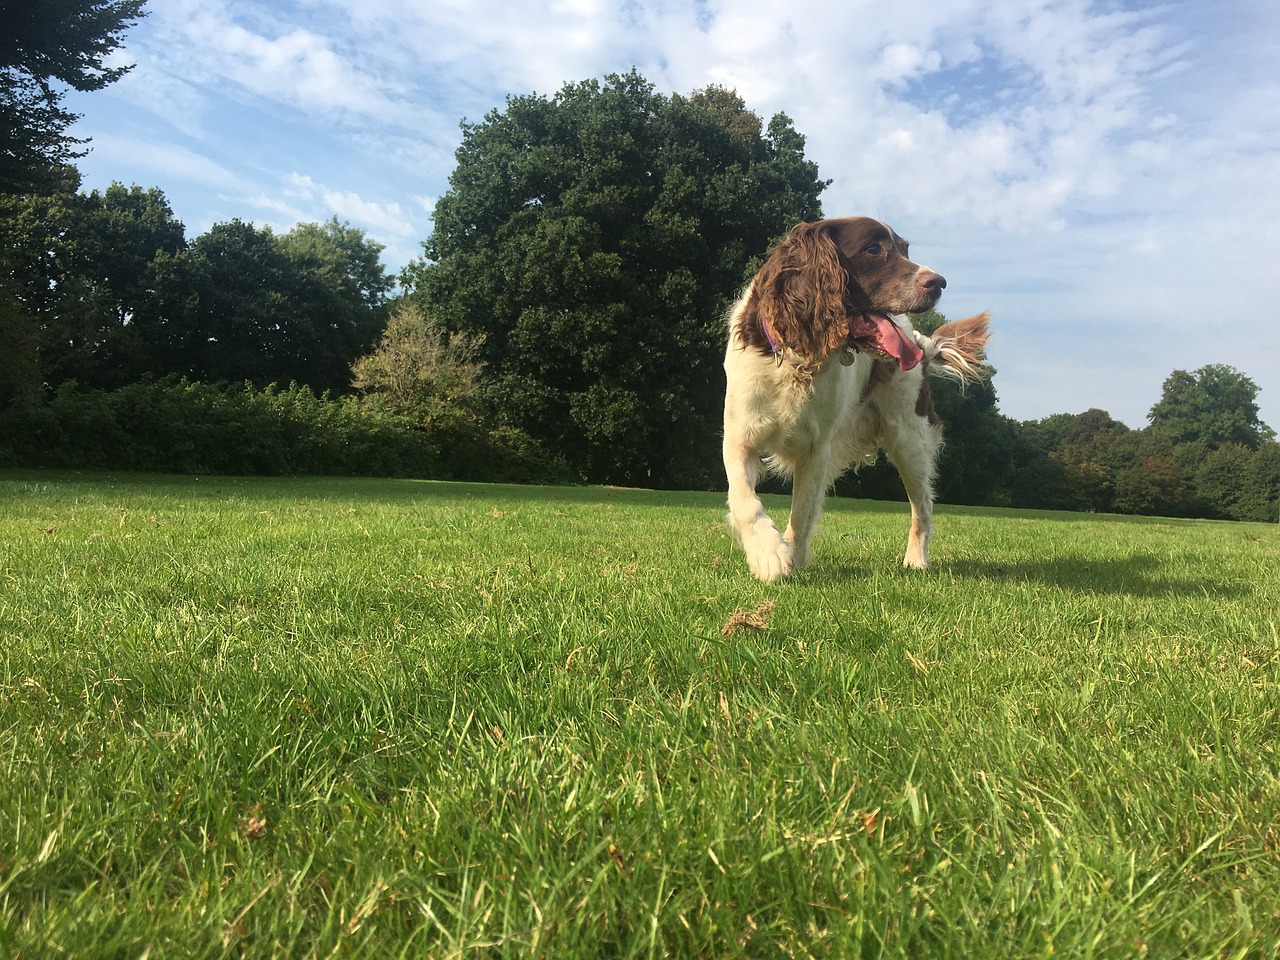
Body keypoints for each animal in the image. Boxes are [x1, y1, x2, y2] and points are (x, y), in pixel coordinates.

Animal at [721, 215, 988, 583]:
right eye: (873, 249)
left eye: (905, 249)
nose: (940, 282)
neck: (801, 357)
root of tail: (919, 339)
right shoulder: (739, 437)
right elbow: (744, 499)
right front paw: (770, 553)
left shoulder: (817, 448)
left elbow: (801, 513)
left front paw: (789, 557)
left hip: (909, 439)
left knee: (922, 506)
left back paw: (916, 559)